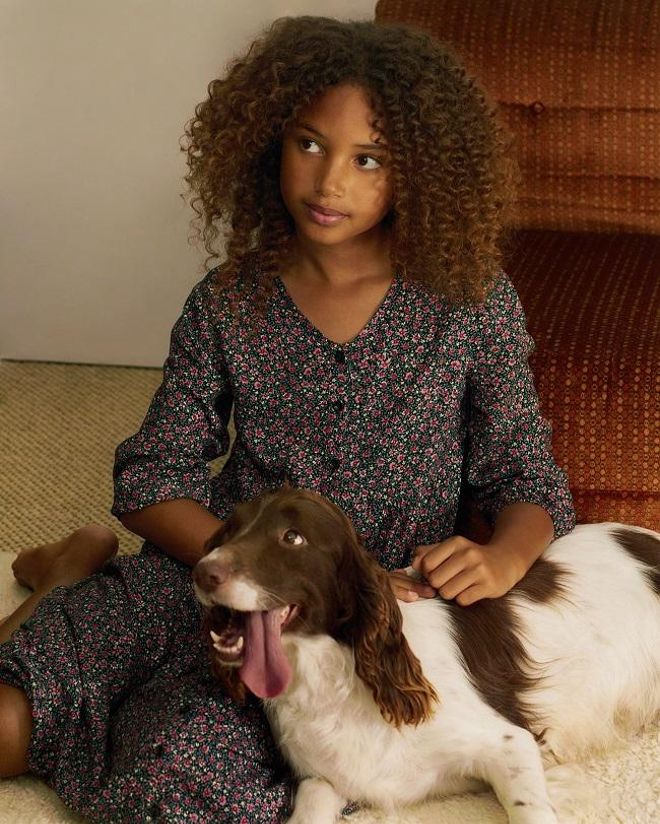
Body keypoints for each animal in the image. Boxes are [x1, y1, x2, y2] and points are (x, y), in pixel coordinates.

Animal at [191, 490, 660, 824]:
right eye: (229, 531)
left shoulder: (510, 743)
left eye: (293, 537)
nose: (202, 571)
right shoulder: (323, 777)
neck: (342, 676)